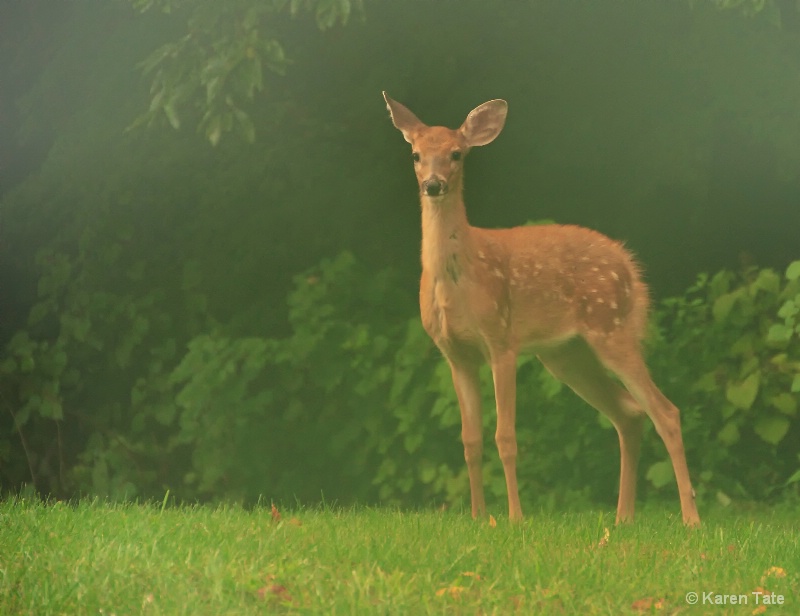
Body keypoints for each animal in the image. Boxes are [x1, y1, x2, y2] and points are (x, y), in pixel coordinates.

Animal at [382, 91, 700, 524]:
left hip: (610, 328)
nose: (434, 185)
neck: (458, 278)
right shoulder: (455, 355)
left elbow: (506, 437)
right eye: (416, 154)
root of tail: (630, 267)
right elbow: (470, 440)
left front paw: (515, 518)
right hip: (566, 354)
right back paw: (623, 517)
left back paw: (690, 519)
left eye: (456, 154)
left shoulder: (501, 339)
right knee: (629, 413)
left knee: (666, 412)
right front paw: (478, 517)